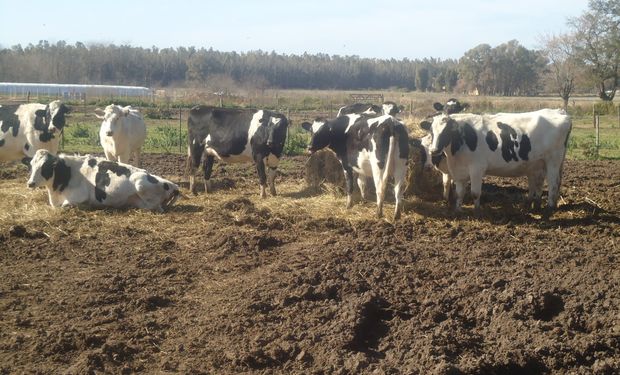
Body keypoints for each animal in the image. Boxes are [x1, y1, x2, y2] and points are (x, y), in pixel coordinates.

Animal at [27, 149, 180, 213]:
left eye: (45, 167)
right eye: (32, 165)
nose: (30, 183)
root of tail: (173, 185)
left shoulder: (79, 197)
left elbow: (67, 205)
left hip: (140, 184)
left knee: (157, 208)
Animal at [418, 108, 572, 217]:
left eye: (447, 131)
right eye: (431, 131)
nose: (434, 150)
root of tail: (559, 111)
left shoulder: (477, 168)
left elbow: (475, 193)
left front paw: (477, 211)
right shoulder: (458, 171)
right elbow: (459, 193)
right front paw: (457, 210)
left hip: (553, 160)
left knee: (553, 183)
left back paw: (549, 208)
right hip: (539, 162)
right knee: (540, 182)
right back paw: (536, 205)